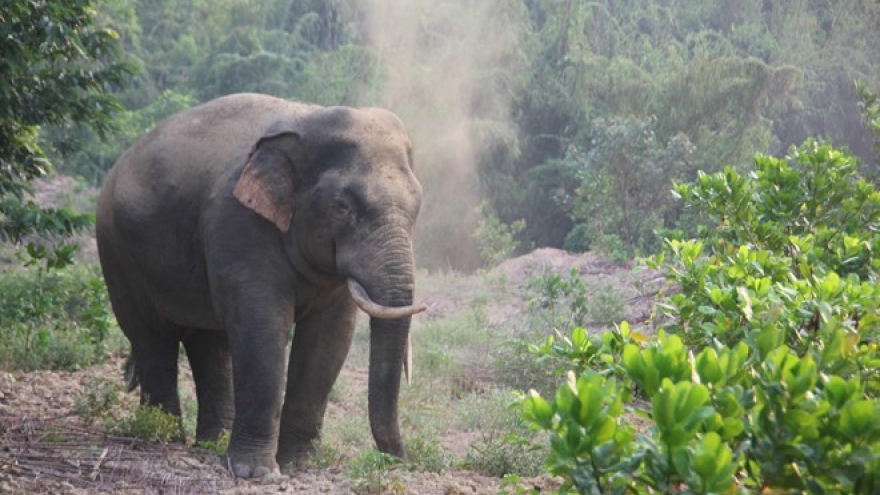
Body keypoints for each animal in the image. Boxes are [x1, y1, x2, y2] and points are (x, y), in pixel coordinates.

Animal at [94, 91, 424, 478]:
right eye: (342, 206)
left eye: (418, 205)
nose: (398, 461)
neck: (307, 121)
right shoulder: (237, 222)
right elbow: (261, 328)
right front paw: (255, 473)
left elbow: (329, 338)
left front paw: (298, 466)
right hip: (117, 252)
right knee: (152, 337)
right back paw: (163, 437)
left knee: (209, 342)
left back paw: (212, 443)